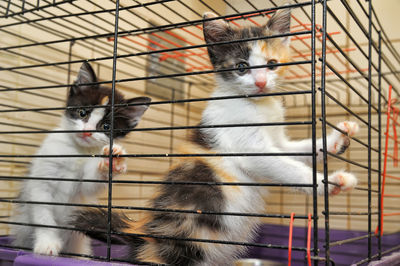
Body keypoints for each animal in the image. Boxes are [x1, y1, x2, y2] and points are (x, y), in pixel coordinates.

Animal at [11, 61, 152, 256]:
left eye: (106, 126)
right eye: (82, 112)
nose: (87, 131)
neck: (76, 152)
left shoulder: (84, 185)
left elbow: (89, 185)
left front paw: (112, 161)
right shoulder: (41, 180)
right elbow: (43, 213)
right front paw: (47, 243)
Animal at [73, 8, 358, 266]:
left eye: (271, 65)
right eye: (242, 67)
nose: (261, 83)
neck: (257, 105)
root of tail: (141, 231)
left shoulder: (277, 139)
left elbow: (295, 150)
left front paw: (335, 140)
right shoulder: (247, 146)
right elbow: (286, 167)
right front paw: (330, 183)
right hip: (183, 240)